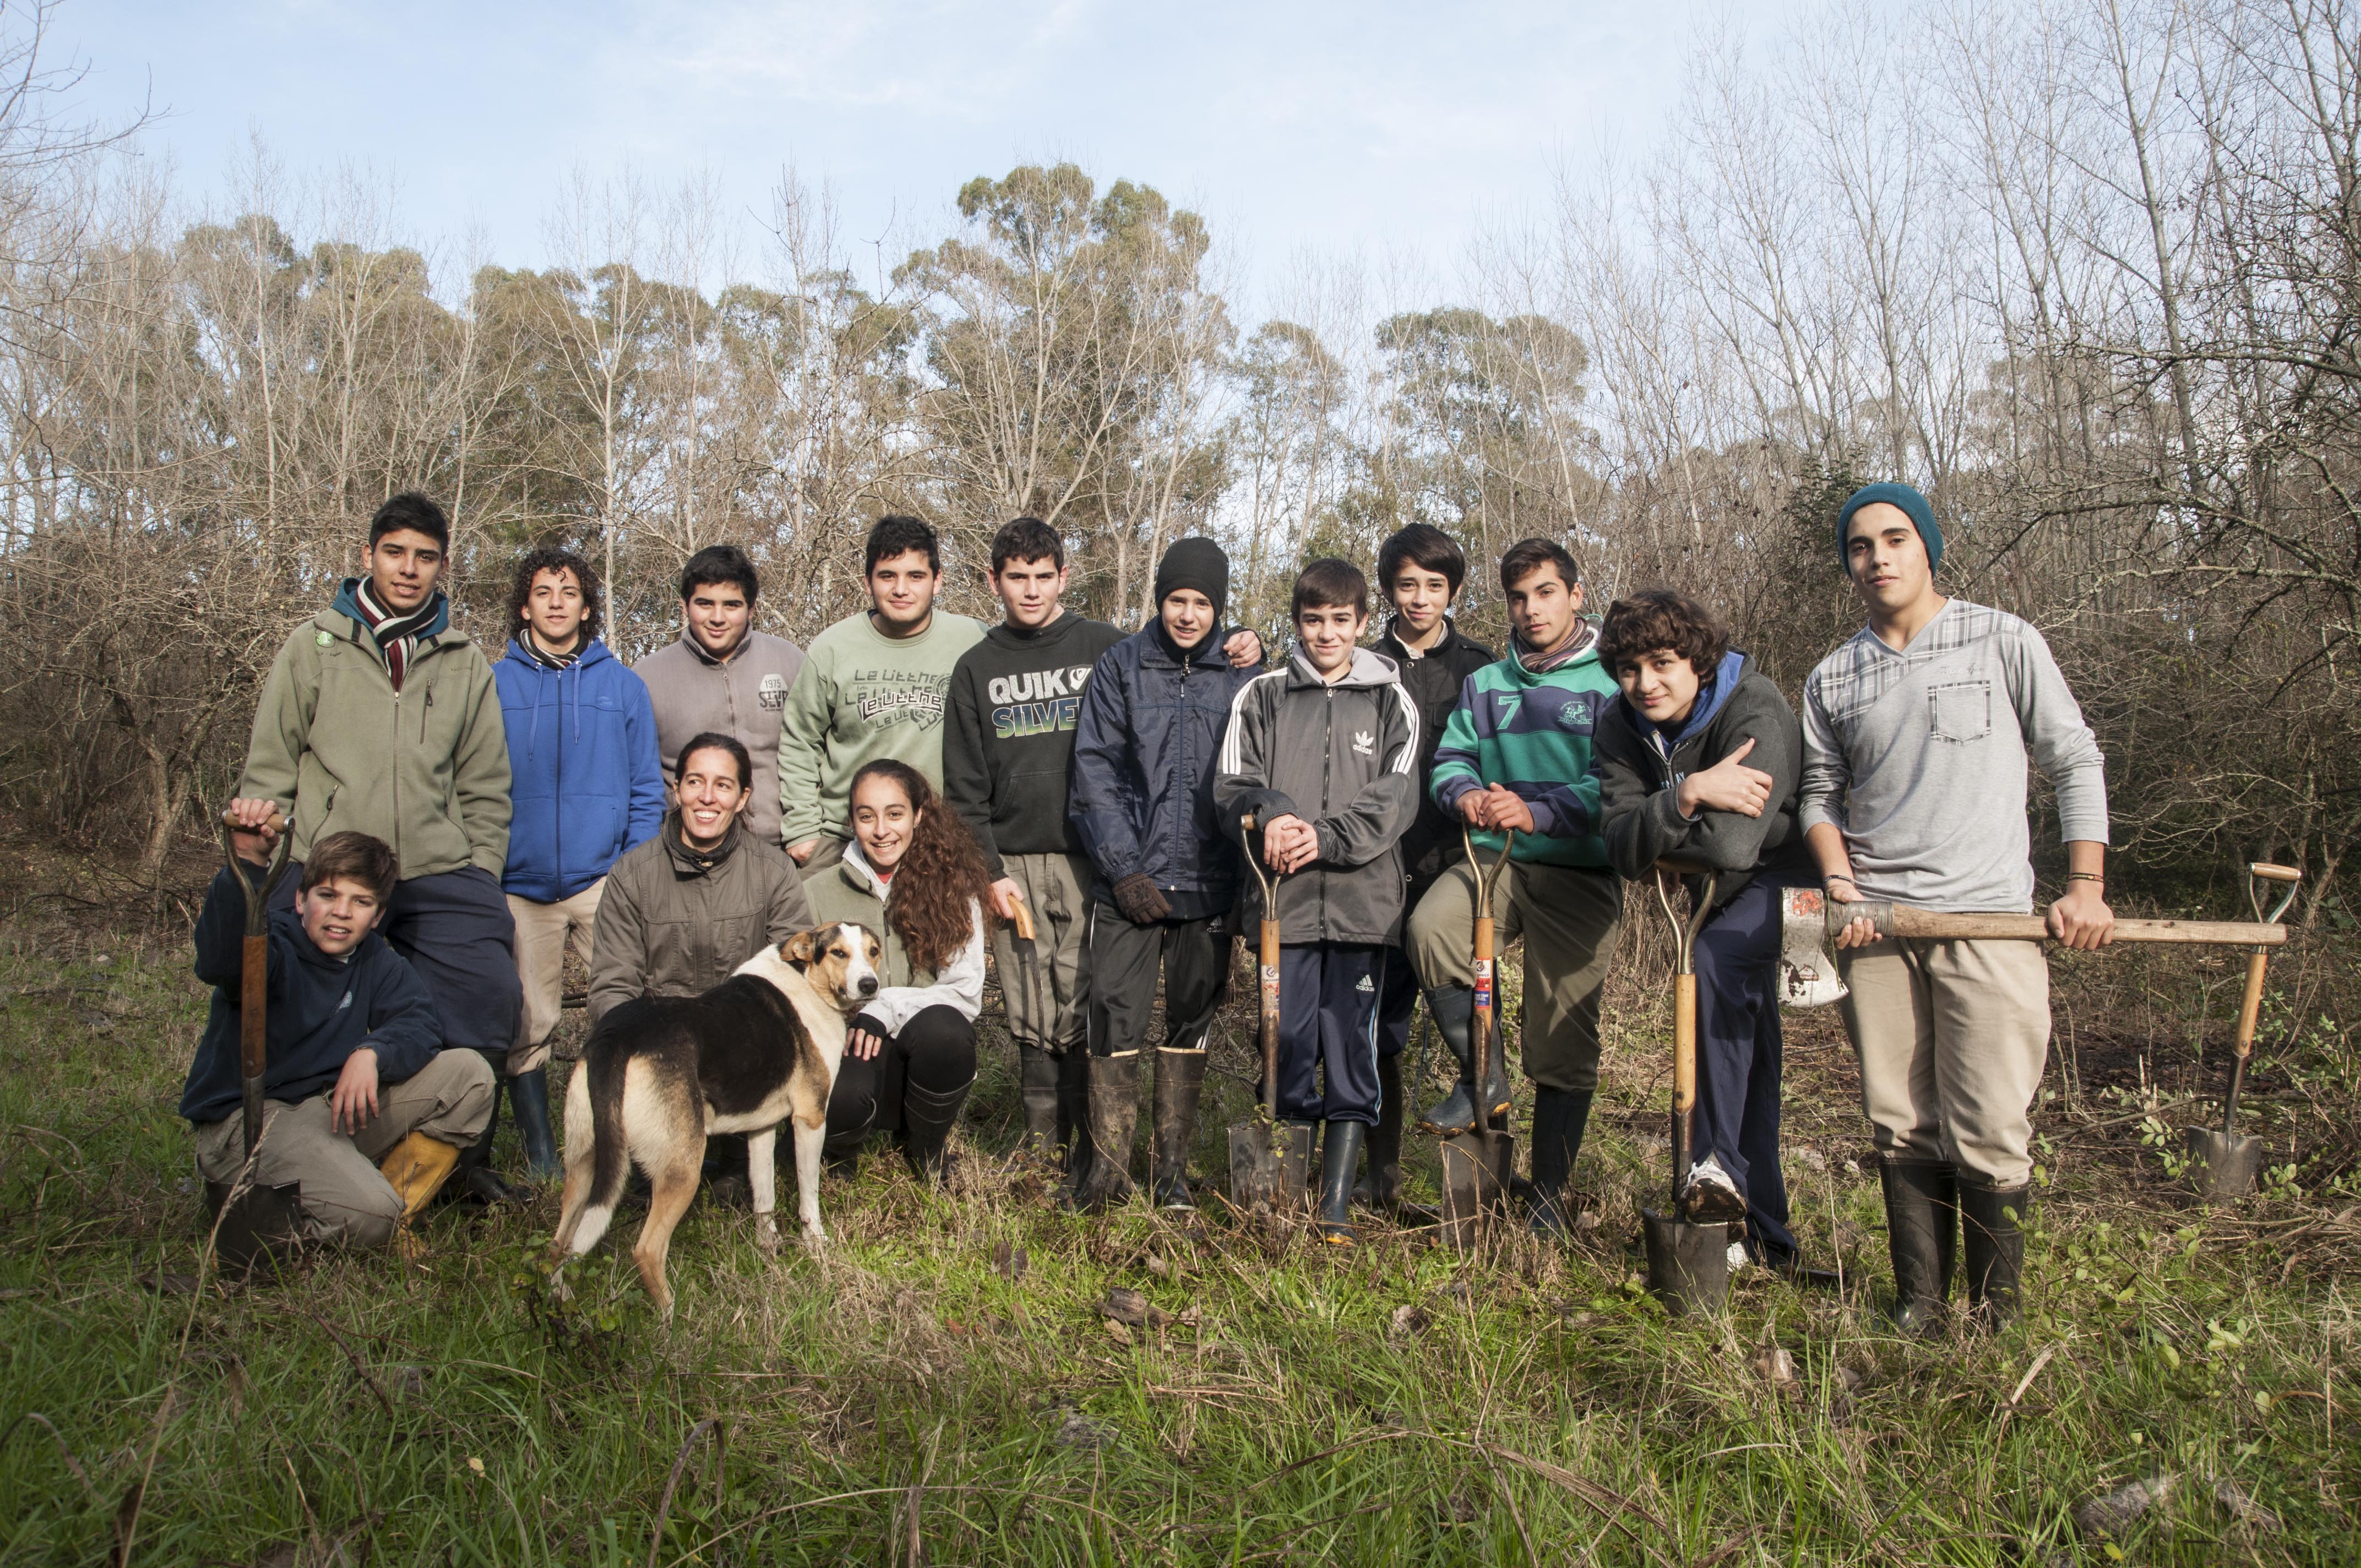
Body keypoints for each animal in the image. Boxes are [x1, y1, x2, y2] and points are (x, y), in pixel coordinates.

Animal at [547, 925, 883, 1313]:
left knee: (560, 1244)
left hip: (586, 1162)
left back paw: (561, 1301)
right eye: (838, 953)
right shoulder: (810, 1120)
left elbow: (764, 1196)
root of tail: (616, 1037)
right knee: (646, 1250)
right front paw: (816, 1245)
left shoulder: (761, 1129)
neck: (807, 980)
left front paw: (768, 1247)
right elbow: (808, 1197)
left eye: (874, 951)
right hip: (683, 1168)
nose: (870, 985)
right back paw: (672, 1319)